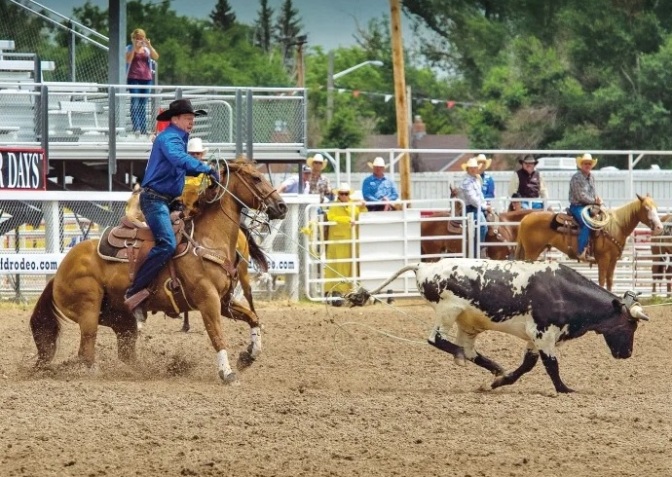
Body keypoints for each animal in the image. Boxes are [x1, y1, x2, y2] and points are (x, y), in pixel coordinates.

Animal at [29, 160, 286, 384]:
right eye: (256, 178)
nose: (281, 206)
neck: (208, 241)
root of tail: (58, 273)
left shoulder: (223, 301)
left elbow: (253, 318)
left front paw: (249, 355)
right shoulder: (208, 300)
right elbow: (217, 336)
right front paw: (227, 373)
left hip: (121, 318)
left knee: (125, 354)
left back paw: (146, 373)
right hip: (89, 310)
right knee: (86, 351)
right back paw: (98, 374)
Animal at [344, 258, 648, 392]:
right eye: (630, 326)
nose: (627, 354)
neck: (563, 292)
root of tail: (424, 267)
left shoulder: (535, 339)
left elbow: (528, 365)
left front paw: (501, 380)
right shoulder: (543, 335)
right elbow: (551, 366)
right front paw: (565, 389)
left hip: (468, 323)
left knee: (469, 350)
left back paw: (494, 368)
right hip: (448, 311)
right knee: (437, 339)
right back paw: (462, 356)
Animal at [516, 194, 664, 290]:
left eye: (656, 208)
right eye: (646, 209)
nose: (659, 227)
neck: (616, 227)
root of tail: (525, 218)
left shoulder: (613, 260)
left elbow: (610, 281)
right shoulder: (603, 259)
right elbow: (602, 280)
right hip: (532, 252)